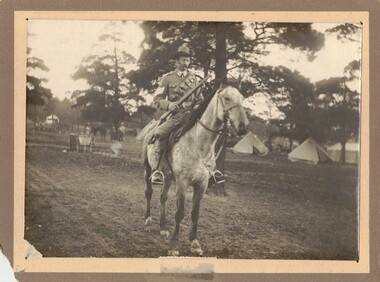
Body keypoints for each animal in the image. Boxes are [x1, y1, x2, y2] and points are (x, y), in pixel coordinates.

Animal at [140, 83, 249, 256]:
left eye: (242, 98)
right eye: (226, 98)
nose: (243, 126)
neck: (199, 145)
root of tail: (152, 126)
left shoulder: (202, 184)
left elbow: (195, 213)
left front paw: (194, 242)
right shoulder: (182, 183)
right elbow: (180, 213)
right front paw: (174, 245)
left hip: (168, 177)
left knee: (163, 197)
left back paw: (163, 227)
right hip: (148, 168)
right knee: (149, 193)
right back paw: (148, 222)